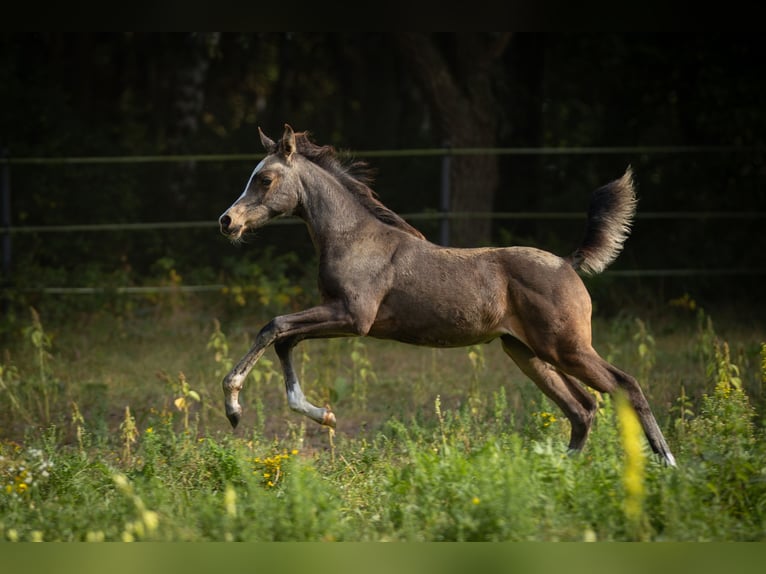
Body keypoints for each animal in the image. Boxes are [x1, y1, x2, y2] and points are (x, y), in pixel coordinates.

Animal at [218, 122, 680, 468]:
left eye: (264, 178)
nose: (227, 221)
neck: (354, 238)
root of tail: (568, 263)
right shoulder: (338, 316)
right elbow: (285, 339)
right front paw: (324, 416)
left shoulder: (353, 317)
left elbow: (274, 327)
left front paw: (234, 408)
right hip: (528, 353)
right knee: (583, 408)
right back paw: (558, 472)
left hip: (567, 348)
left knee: (625, 385)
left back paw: (668, 465)